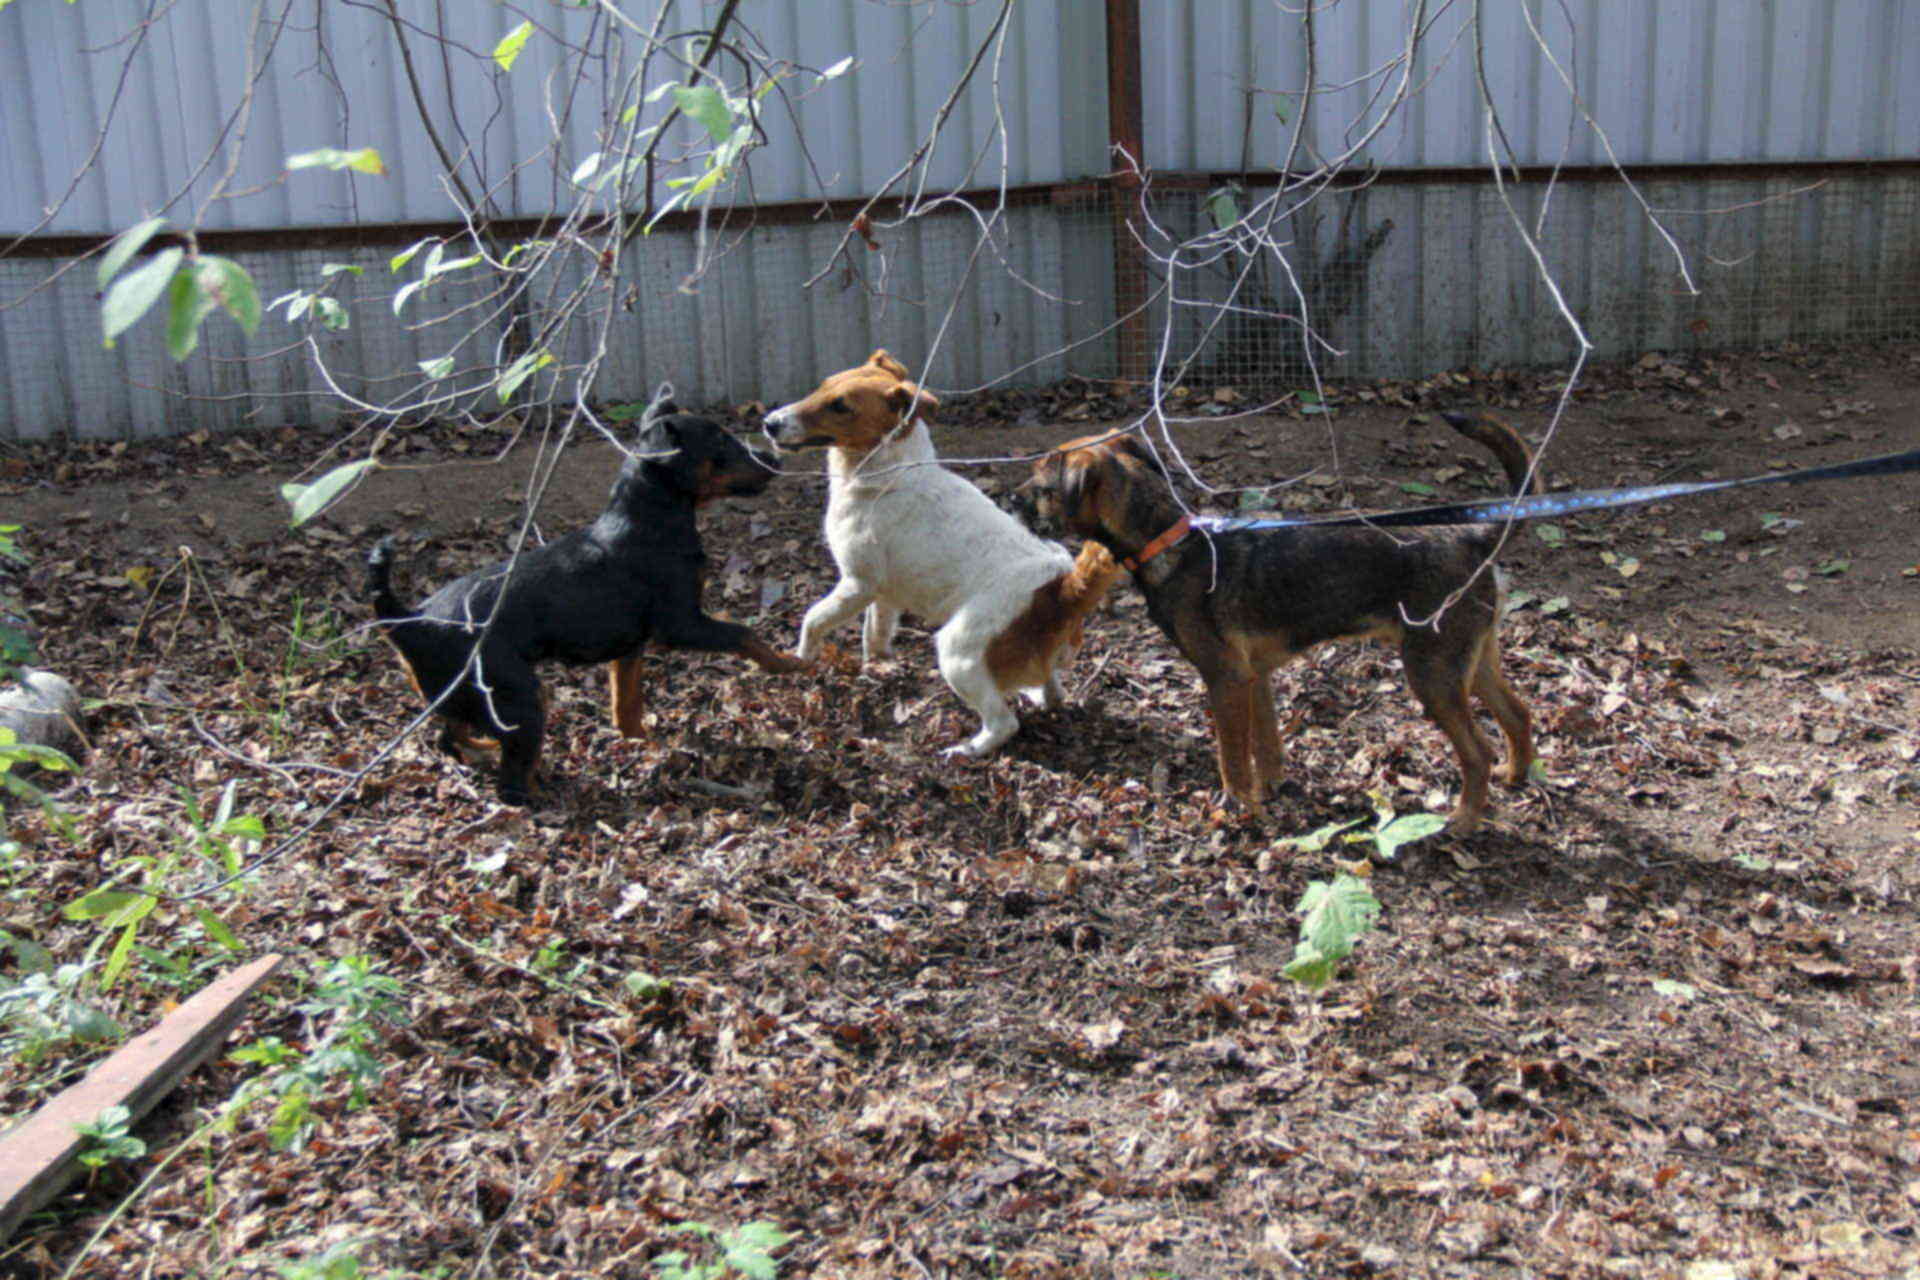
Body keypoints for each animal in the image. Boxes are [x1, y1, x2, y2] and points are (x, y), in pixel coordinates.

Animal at [365, 400, 808, 805]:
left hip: (460, 696)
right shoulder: (681, 624)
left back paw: (485, 750)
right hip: (518, 695)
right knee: (510, 783)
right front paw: (790, 663)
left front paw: (645, 745)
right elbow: (744, 634)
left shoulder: (631, 648)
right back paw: (549, 797)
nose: (774, 457)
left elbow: (626, 707)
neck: (651, 520)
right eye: (720, 442)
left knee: (451, 736)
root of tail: (410, 619)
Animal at [762, 350, 1118, 757]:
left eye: (840, 406)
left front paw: (799, 659)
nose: (769, 424)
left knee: (1004, 723)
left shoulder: (857, 584)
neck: (887, 476)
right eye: (821, 386)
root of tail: (1062, 587)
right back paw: (1037, 695)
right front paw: (876, 671)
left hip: (956, 652)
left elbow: (812, 619)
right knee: (1052, 690)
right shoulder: (883, 596)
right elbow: (875, 636)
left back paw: (967, 751)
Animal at [1018, 411, 1539, 833]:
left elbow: (1232, 758)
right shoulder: (1256, 676)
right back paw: (1515, 777)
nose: (1011, 496)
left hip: (1433, 673)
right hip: (1470, 662)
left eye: (1042, 490)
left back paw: (1465, 820)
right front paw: (1268, 793)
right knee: (1518, 714)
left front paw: (1236, 810)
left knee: (1478, 752)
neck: (1170, 539)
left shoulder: (1225, 679)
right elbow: (1266, 746)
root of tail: (1475, 534)